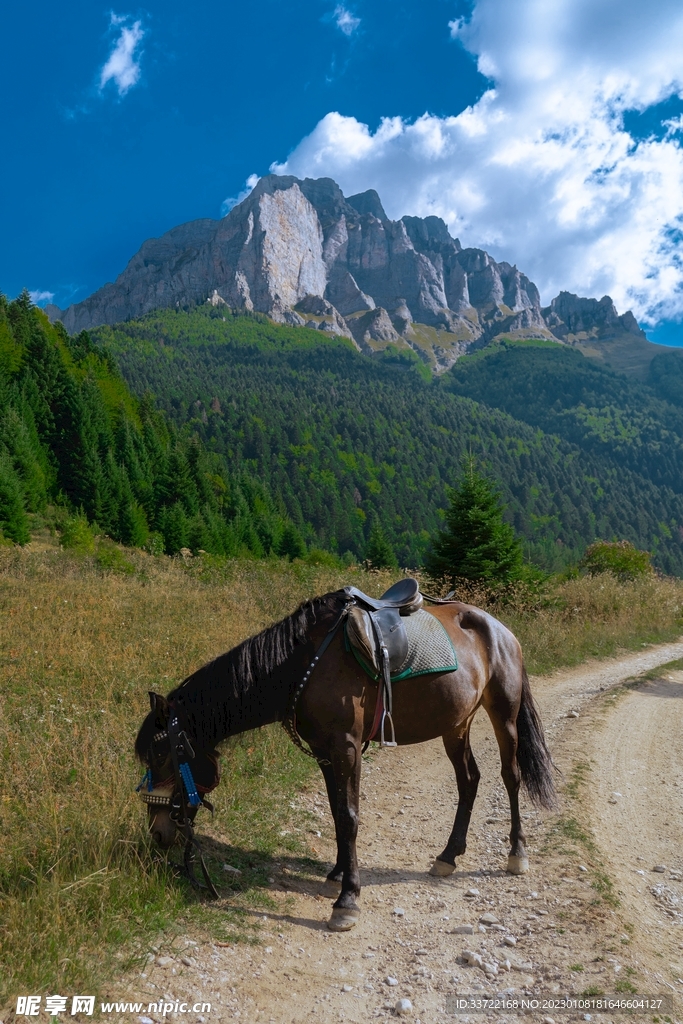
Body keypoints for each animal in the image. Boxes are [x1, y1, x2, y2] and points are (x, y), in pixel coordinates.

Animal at [134, 583, 556, 932]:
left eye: (163, 753)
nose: (158, 831)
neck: (301, 662)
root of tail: (500, 630)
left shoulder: (347, 747)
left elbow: (351, 816)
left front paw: (348, 900)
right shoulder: (324, 752)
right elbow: (337, 812)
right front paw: (337, 872)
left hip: (504, 715)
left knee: (511, 777)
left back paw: (516, 854)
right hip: (456, 724)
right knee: (469, 781)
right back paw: (448, 856)